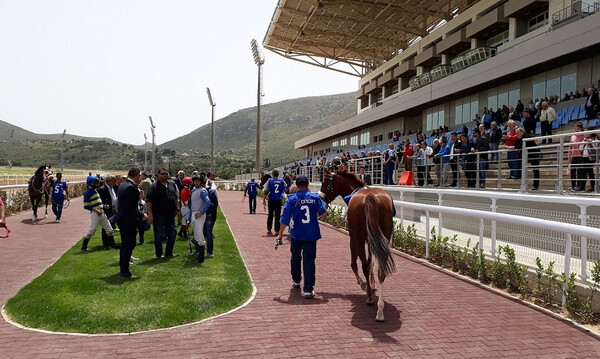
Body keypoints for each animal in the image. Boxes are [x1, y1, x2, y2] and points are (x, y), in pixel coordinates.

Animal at [316, 167, 396, 322]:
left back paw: (370, 298)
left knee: (363, 265)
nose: (321, 199)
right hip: (383, 236)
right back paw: (380, 310)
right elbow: (371, 262)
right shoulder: (371, 240)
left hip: (358, 238)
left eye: (324, 182)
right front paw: (372, 283)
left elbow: (354, 263)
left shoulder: (353, 238)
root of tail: (370, 196)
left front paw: (363, 283)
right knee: (380, 268)